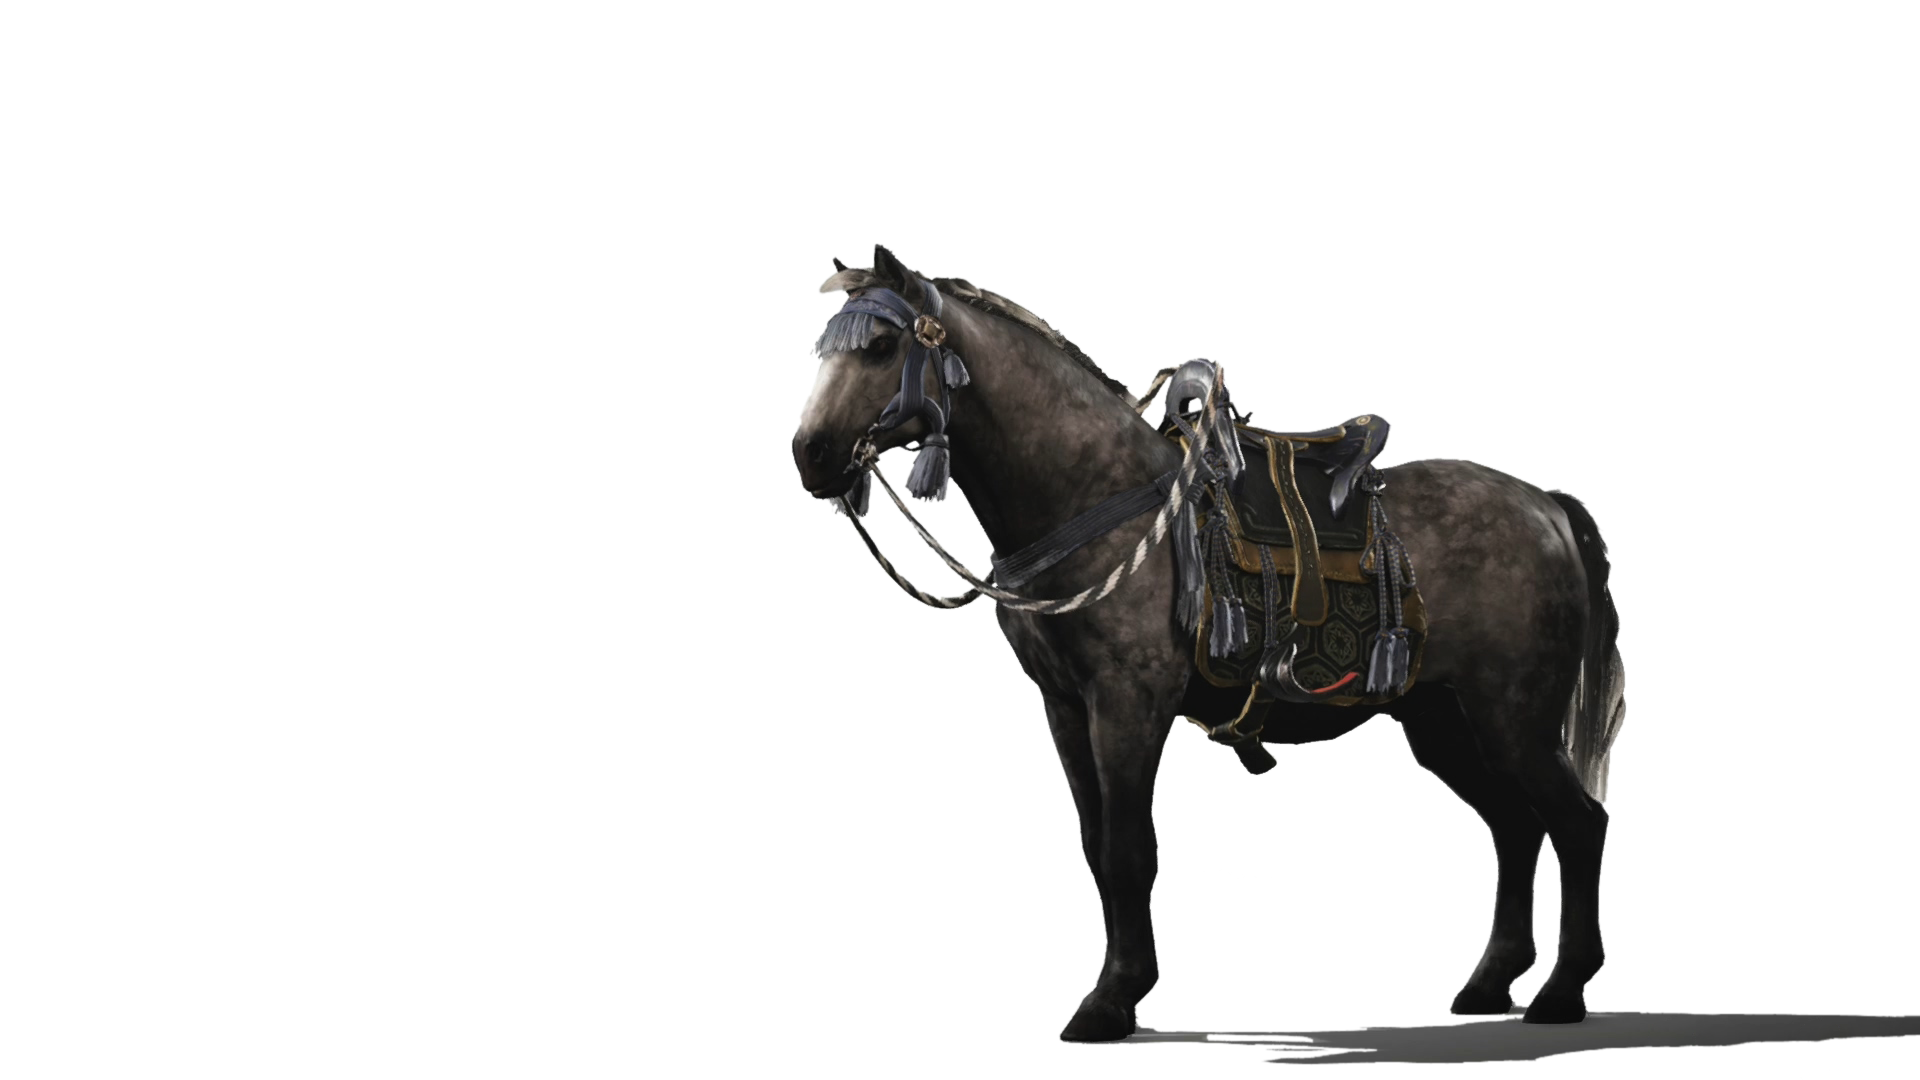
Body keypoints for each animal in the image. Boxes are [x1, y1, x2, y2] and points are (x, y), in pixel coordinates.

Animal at [790, 245, 1627, 1042]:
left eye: (882, 345)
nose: (811, 455)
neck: (1097, 497)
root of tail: (1545, 507)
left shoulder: (1129, 700)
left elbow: (1129, 848)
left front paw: (1112, 999)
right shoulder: (1064, 706)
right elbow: (1095, 846)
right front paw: (1119, 988)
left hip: (1513, 715)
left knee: (1578, 824)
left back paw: (1563, 990)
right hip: (1444, 720)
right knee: (1517, 826)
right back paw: (1492, 981)